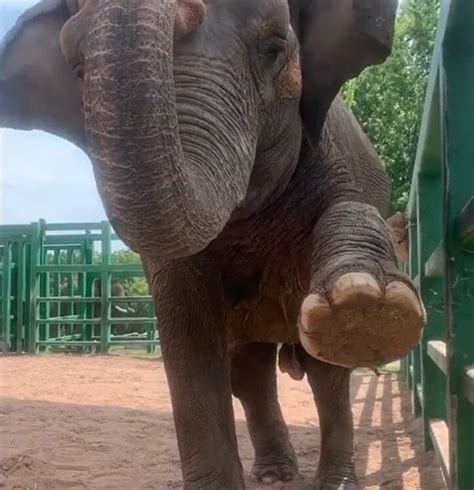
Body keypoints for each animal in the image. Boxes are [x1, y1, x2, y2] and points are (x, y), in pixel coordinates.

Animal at [0, 1, 426, 488]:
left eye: (272, 48)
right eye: (77, 69)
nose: (187, 13)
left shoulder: (344, 160)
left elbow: (353, 208)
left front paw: (368, 307)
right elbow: (187, 334)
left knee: (325, 374)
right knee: (249, 372)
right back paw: (275, 475)